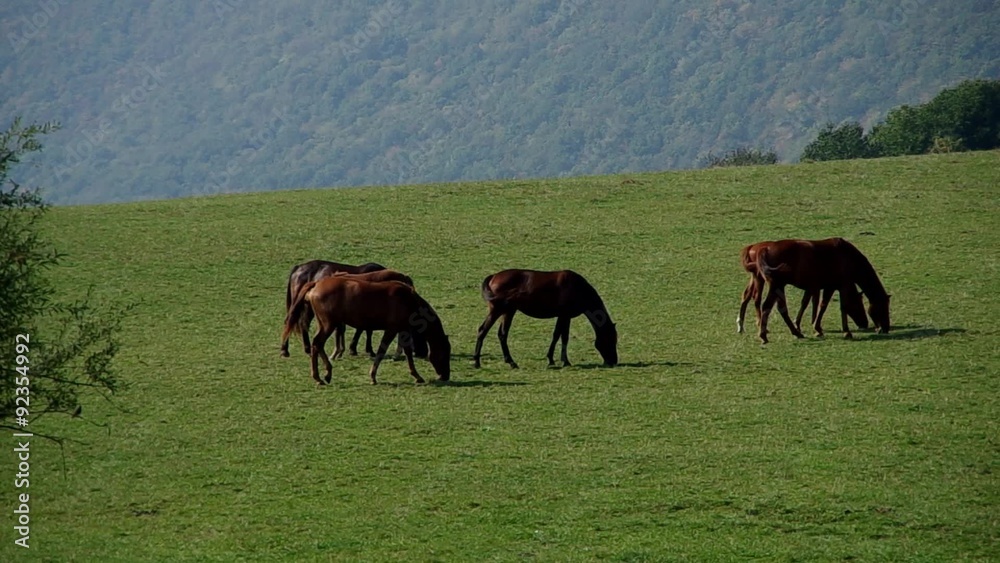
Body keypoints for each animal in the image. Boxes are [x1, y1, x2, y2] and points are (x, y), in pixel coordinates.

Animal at [281, 277, 451, 385]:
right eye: (445, 353)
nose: (446, 376)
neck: (408, 300)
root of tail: (317, 283)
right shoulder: (392, 330)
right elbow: (382, 351)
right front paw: (373, 377)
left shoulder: (402, 330)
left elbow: (408, 352)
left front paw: (416, 376)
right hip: (329, 324)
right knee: (317, 343)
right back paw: (321, 375)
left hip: (324, 324)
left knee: (317, 345)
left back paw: (323, 375)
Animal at [472, 269, 618, 369]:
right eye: (611, 340)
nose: (614, 361)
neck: (578, 288)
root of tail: (494, 276)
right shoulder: (565, 315)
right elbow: (563, 337)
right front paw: (564, 361)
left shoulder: (563, 316)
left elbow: (557, 335)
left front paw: (552, 359)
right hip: (498, 310)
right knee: (484, 331)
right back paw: (477, 362)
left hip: (508, 311)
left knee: (501, 334)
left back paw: (510, 362)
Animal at [737, 241, 869, 336]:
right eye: (858, 304)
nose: (865, 323)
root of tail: (751, 248)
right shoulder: (818, 286)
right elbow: (815, 302)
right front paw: (814, 325)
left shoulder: (813, 287)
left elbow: (808, 301)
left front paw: (807, 324)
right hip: (761, 279)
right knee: (757, 298)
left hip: (758, 278)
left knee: (747, 295)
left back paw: (742, 326)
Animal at [754, 238, 891, 344]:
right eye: (883, 307)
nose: (886, 328)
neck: (848, 257)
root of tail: (765, 249)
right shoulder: (842, 286)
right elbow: (843, 307)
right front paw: (846, 332)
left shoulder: (829, 287)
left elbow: (823, 306)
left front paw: (818, 328)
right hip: (776, 285)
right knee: (768, 307)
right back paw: (764, 336)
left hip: (779, 287)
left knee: (779, 309)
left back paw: (794, 333)